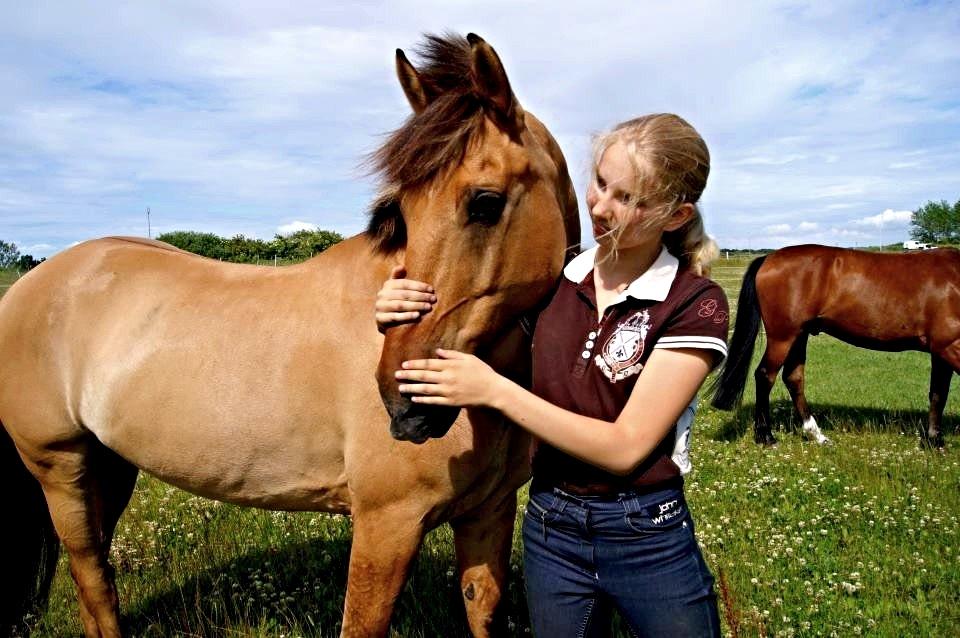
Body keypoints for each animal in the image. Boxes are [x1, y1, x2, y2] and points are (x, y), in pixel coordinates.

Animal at [0, 35, 576, 638]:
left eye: (485, 202)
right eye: (402, 213)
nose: (404, 406)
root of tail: (29, 287)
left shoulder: (489, 513)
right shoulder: (388, 523)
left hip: (109, 467)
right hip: (59, 467)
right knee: (90, 572)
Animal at [708, 245, 960, 450]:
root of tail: (768, 258)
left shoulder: (940, 351)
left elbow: (938, 394)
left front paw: (934, 440)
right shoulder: (949, 346)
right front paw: (936, 440)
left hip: (799, 335)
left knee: (793, 378)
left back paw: (816, 434)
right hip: (783, 336)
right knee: (765, 376)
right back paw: (766, 437)